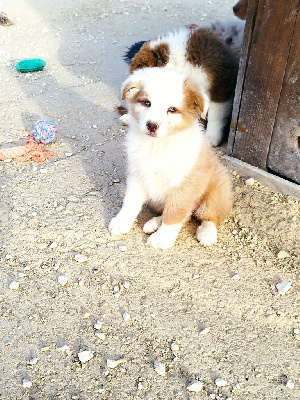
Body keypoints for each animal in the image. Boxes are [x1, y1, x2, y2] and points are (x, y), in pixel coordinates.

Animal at [108, 69, 232, 250]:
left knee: (209, 217)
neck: (158, 146)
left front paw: (162, 239)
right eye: (146, 103)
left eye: (172, 109)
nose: (152, 125)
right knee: (185, 215)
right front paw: (121, 222)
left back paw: (207, 233)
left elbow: (174, 214)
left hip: (216, 192)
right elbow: (130, 202)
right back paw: (153, 223)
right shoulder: (137, 175)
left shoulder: (183, 185)